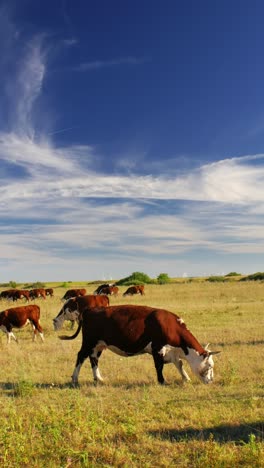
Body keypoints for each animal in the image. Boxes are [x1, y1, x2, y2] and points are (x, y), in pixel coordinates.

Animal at [58, 306, 220, 386]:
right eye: (210, 366)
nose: (211, 381)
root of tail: (89, 310)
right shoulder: (157, 348)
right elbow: (159, 366)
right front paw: (162, 381)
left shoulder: (171, 351)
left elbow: (179, 364)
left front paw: (186, 379)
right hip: (89, 342)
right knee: (81, 356)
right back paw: (75, 378)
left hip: (99, 345)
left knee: (94, 359)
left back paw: (98, 378)